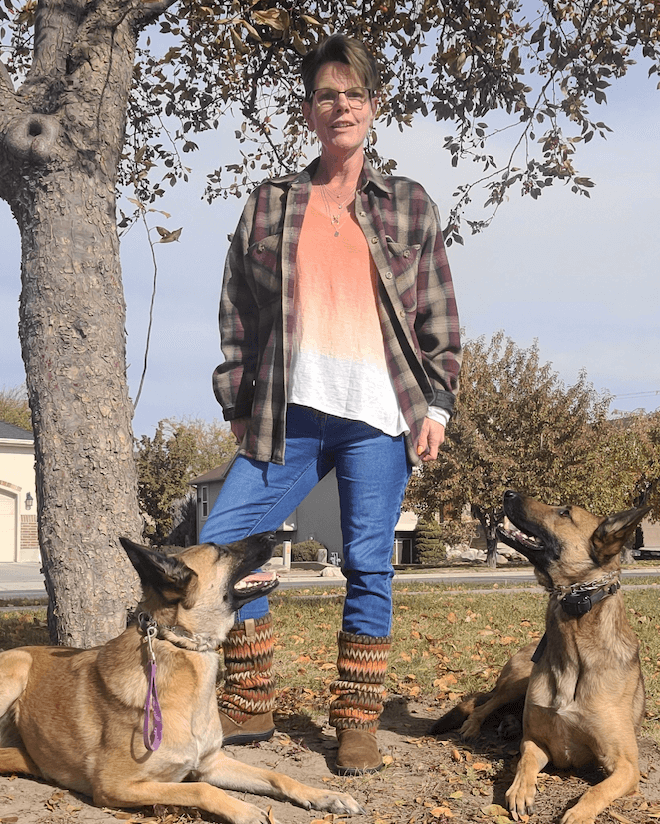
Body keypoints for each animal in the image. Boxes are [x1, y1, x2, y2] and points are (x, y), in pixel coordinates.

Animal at [0, 536, 366, 824]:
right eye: (220, 550)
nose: (275, 534)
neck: (181, 646)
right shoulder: (114, 785)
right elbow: (201, 789)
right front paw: (245, 810)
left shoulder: (212, 764)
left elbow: (276, 775)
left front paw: (323, 795)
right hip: (17, 667)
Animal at [430, 492, 652, 820]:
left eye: (565, 513)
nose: (508, 493)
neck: (575, 653)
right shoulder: (536, 743)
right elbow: (524, 763)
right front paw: (520, 791)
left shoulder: (626, 766)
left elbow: (597, 790)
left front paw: (578, 813)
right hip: (517, 683)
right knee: (484, 705)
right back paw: (474, 725)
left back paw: (509, 724)